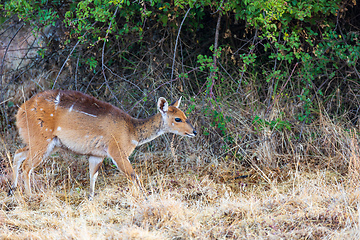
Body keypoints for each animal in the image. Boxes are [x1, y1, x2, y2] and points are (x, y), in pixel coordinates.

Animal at [8, 90, 197, 199]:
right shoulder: (117, 152)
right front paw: (146, 198)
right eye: (177, 119)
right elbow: (133, 175)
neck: (132, 131)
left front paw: (90, 198)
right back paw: (30, 196)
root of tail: (21, 111)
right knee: (26, 165)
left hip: (46, 144)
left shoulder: (96, 155)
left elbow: (93, 176)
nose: (194, 132)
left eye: (185, 116)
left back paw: (12, 189)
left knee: (18, 153)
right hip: (42, 141)